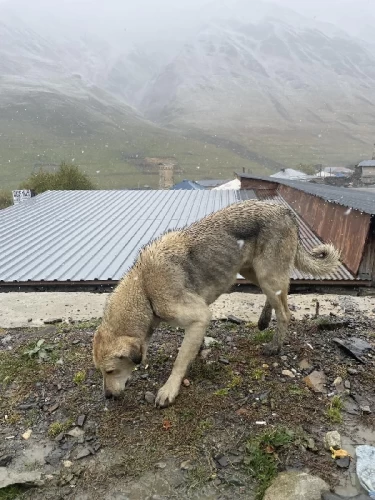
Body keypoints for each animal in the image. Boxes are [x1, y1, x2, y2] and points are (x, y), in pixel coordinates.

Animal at [93, 199, 340, 406]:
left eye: (110, 371)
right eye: (102, 372)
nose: (107, 397)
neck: (145, 289)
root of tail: (285, 211)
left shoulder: (199, 315)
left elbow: (179, 360)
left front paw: (170, 389)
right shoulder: (196, 321)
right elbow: (190, 348)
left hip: (267, 274)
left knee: (285, 312)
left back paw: (275, 345)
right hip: (252, 271)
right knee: (280, 297)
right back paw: (263, 319)